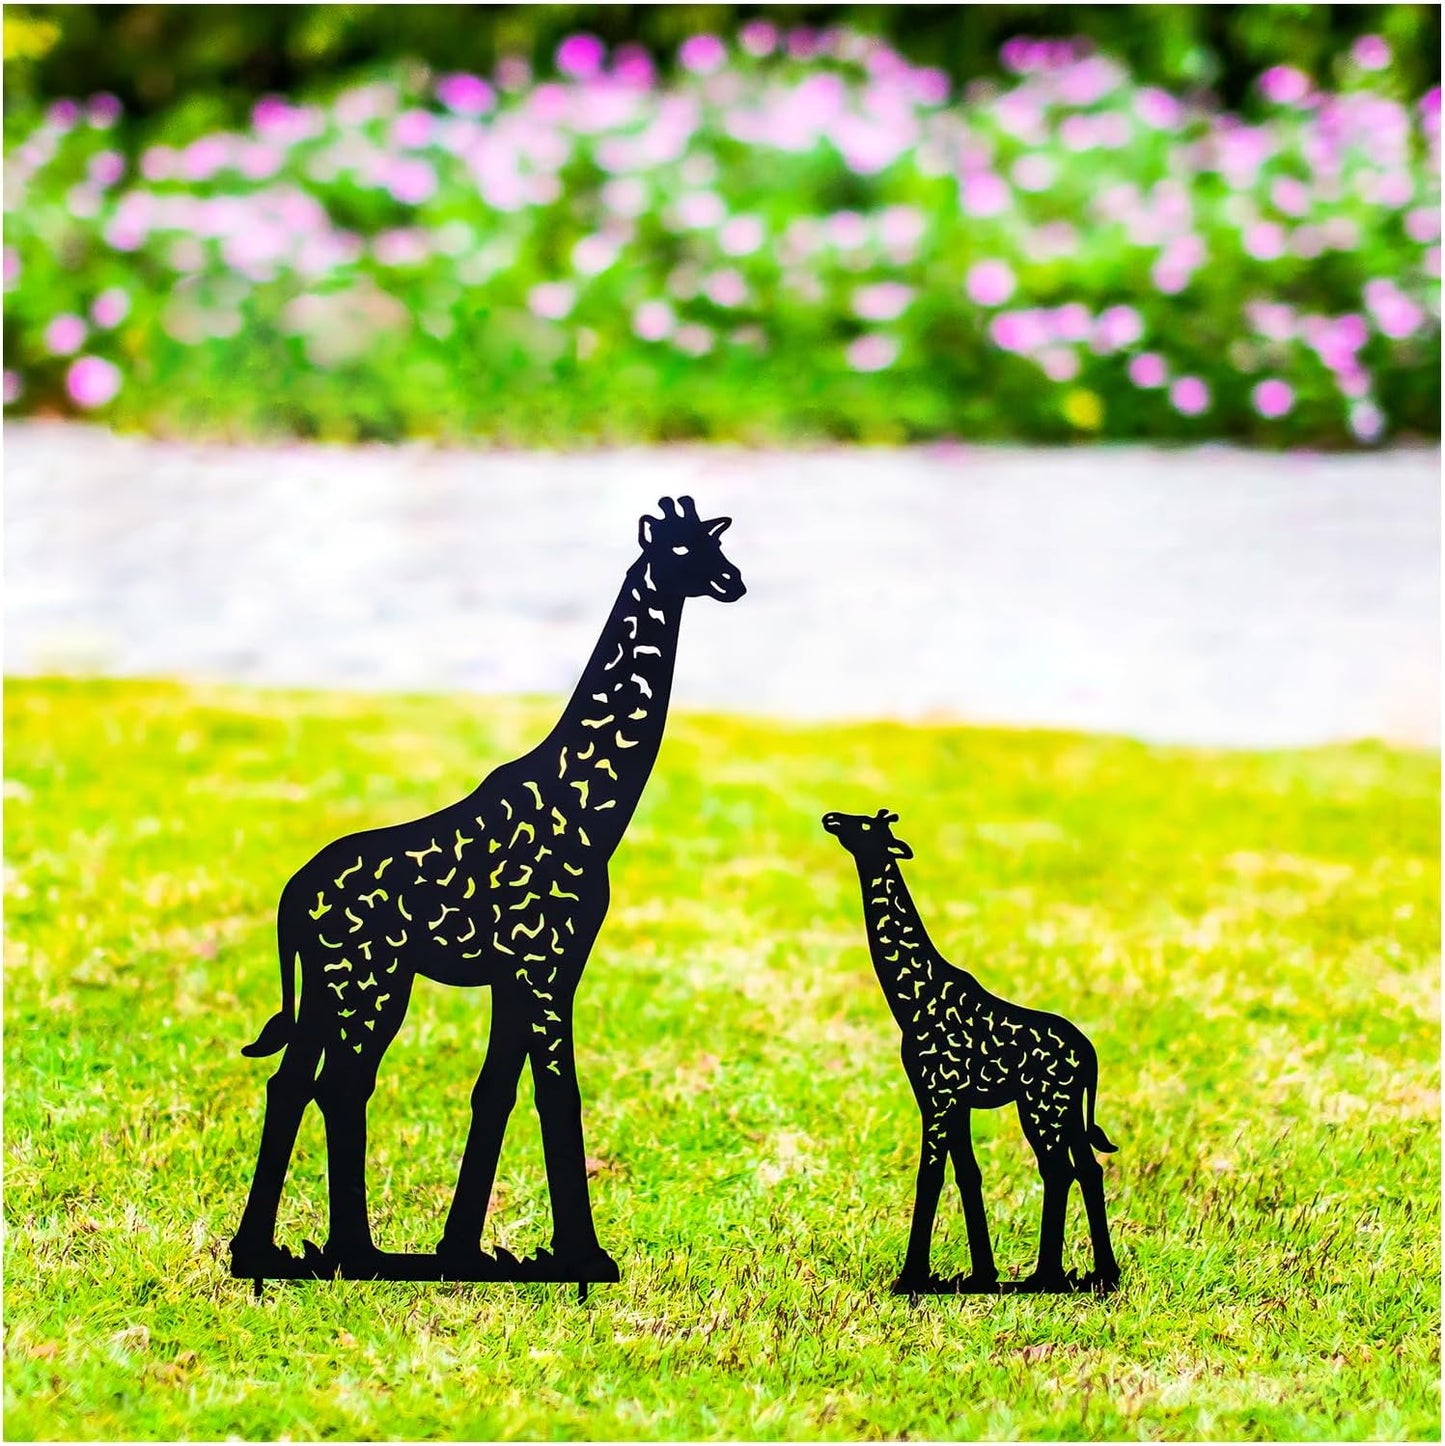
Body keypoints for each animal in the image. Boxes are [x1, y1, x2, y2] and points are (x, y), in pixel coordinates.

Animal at [230, 496, 745, 1282]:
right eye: (682, 552)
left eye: (714, 547)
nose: (734, 581)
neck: (591, 810)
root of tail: (291, 896)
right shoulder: (549, 966)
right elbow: (558, 1092)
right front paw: (586, 1256)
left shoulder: (520, 974)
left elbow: (494, 1092)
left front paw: (461, 1249)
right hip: (372, 984)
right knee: (340, 1086)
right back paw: (357, 1252)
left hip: (325, 987)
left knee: (292, 1083)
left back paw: (258, 1247)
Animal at [822, 808, 1120, 1295]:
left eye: (866, 825)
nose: (830, 818)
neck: (912, 999)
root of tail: (1089, 1054)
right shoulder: (952, 1100)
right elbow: (968, 1173)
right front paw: (982, 1273)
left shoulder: (937, 1096)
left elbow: (929, 1175)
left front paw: (910, 1278)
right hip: (1069, 1110)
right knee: (1089, 1169)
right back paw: (1104, 1274)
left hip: (1041, 1105)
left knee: (1059, 1170)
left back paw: (1045, 1277)